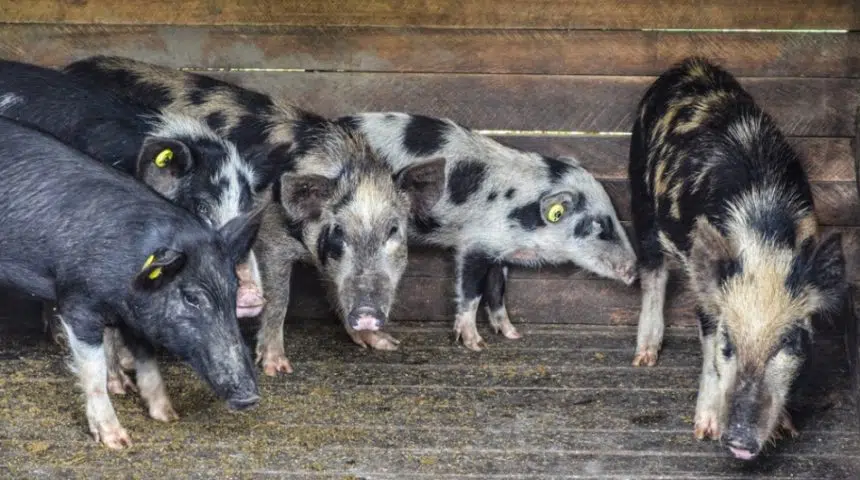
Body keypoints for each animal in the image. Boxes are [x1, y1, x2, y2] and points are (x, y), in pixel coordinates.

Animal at [0, 116, 261, 449]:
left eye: (232, 291)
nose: (250, 397)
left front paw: (168, 415)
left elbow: (147, 357)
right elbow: (93, 369)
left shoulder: (135, 315)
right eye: (191, 297)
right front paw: (118, 441)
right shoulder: (77, 301)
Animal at [64, 56, 446, 374]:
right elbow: (279, 298)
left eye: (394, 230)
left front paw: (385, 344)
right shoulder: (270, 239)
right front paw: (277, 367)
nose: (367, 316)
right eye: (338, 232)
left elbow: (333, 286)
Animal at [340, 112, 639, 351]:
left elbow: (497, 293)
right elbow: (471, 293)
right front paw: (476, 345)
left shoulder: (500, 253)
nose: (635, 270)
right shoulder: (474, 244)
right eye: (599, 226)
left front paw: (513, 335)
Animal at [628, 57, 846, 459]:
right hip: (639, 189)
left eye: (790, 341)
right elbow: (709, 352)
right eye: (728, 341)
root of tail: (688, 64)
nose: (740, 444)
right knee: (653, 271)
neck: (763, 243)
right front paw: (704, 431)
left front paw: (787, 429)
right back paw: (644, 357)